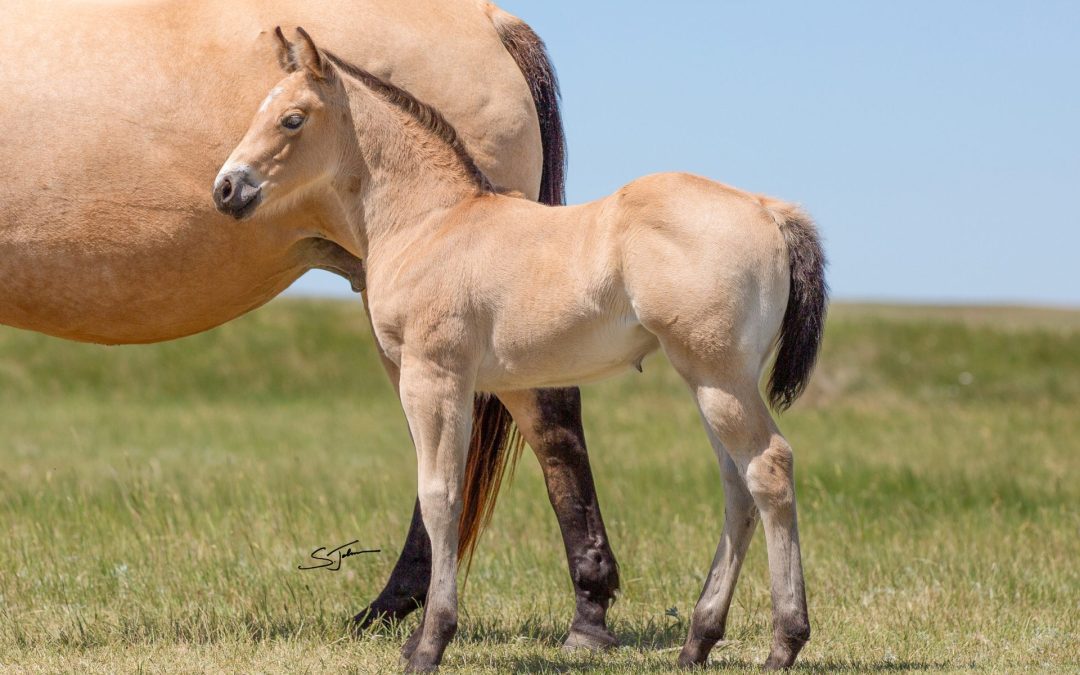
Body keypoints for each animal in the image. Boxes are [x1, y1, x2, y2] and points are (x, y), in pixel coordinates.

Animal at [217, 28, 825, 669]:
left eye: (291, 118)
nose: (226, 189)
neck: (431, 222)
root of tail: (769, 210)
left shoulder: (435, 376)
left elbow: (441, 497)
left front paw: (429, 644)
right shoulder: (477, 383)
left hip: (718, 375)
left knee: (768, 470)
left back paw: (784, 643)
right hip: (709, 377)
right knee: (738, 487)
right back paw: (697, 643)